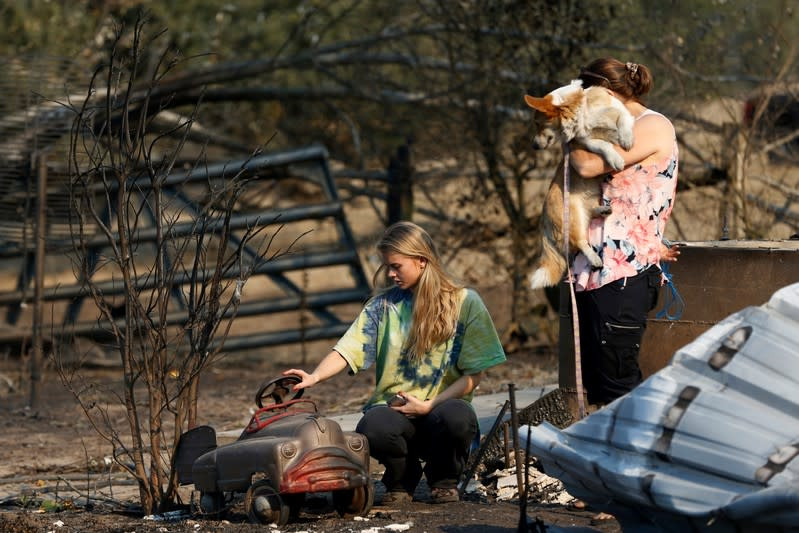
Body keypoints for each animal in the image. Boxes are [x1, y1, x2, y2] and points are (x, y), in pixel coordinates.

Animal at [524, 79, 636, 288]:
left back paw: (603, 210)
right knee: (581, 242)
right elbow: (603, 145)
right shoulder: (587, 141)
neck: (583, 114)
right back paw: (595, 258)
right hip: (573, 217)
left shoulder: (620, 111)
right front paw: (615, 158)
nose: (533, 145)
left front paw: (626, 138)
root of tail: (543, 222)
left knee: (591, 213)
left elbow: (623, 120)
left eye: (537, 123)